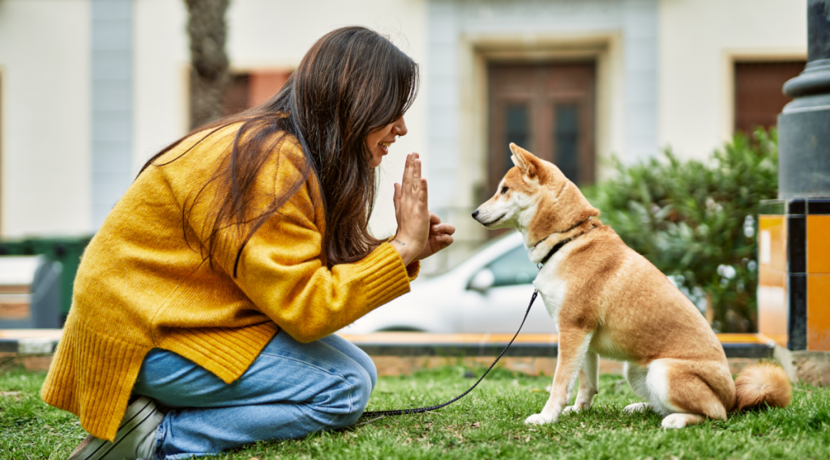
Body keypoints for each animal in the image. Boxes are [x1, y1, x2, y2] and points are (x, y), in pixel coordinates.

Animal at [474, 144, 792, 428]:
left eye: (504, 189)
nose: (474, 213)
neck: (568, 238)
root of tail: (734, 396)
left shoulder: (572, 330)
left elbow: (560, 383)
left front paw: (546, 417)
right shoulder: (582, 337)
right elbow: (587, 384)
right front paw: (579, 411)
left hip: (664, 372)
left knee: (715, 413)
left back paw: (677, 420)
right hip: (634, 370)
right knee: (669, 405)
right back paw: (641, 407)